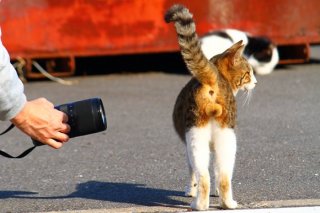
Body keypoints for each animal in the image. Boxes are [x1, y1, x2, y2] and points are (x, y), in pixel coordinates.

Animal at [165, 4, 258, 211]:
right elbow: (215, 171)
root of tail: (212, 78)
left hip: (195, 134)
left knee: (204, 175)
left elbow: (192, 171)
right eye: (248, 73)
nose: (256, 82)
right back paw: (227, 203)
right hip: (226, 136)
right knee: (223, 175)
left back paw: (198, 204)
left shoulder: (187, 144)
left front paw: (190, 191)